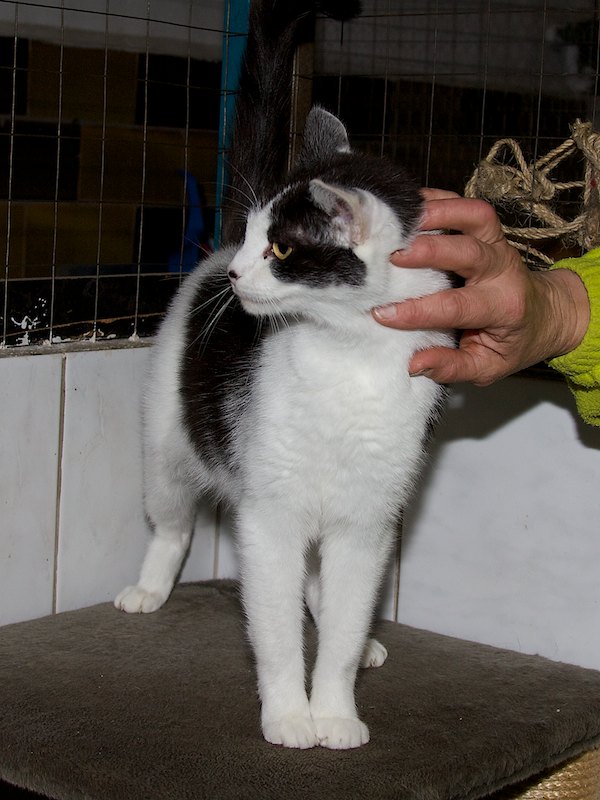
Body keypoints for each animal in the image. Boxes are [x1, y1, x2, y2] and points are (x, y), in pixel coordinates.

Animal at [115, 0, 452, 750]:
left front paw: (336, 710)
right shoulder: (269, 515)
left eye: (280, 248)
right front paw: (289, 715)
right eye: (253, 236)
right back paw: (147, 588)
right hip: (167, 448)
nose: (239, 272)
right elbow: (272, 629)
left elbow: (345, 618)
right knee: (172, 522)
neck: (348, 360)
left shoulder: (366, 524)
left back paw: (358, 641)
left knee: (321, 589)